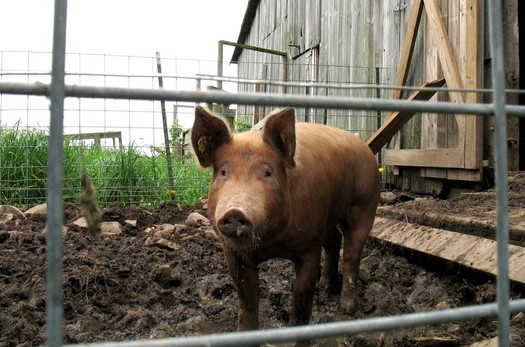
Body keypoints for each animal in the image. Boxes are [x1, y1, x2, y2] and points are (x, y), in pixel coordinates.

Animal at [190, 106, 378, 346]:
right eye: (223, 172)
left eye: (267, 172)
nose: (235, 211)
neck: (272, 244)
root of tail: (362, 143)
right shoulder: (233, 253)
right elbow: (248, 300)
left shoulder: (309, 246)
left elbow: (302, 302)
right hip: (327, 217)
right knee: (334, 240)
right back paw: (326, 287)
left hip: (365, 204)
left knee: (352, 254)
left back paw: (347, 309)